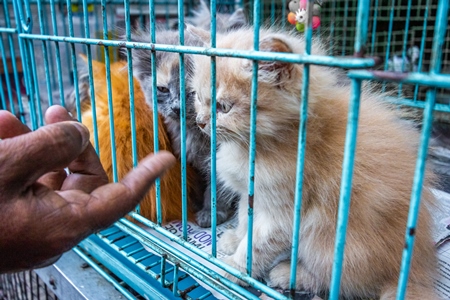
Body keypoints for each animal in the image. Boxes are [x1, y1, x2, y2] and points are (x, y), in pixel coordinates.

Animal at [132, 30, 241, 227]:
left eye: (193, 92)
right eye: (162, 89)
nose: (177, 107)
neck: (192, 133)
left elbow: (217, 190)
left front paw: (211, 213)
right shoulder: (192, 162)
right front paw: (196, 203)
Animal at [191, 27, 440, 298]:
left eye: (223, 107)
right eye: (197, 97)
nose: (200, 122)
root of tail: (409, 270)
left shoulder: (283, 211)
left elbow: (257, 245)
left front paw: (234, 269)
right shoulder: (253, 194)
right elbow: (246, 219)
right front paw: (236, 239)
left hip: (331, 243)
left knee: (334, 280)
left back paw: (288, 274)